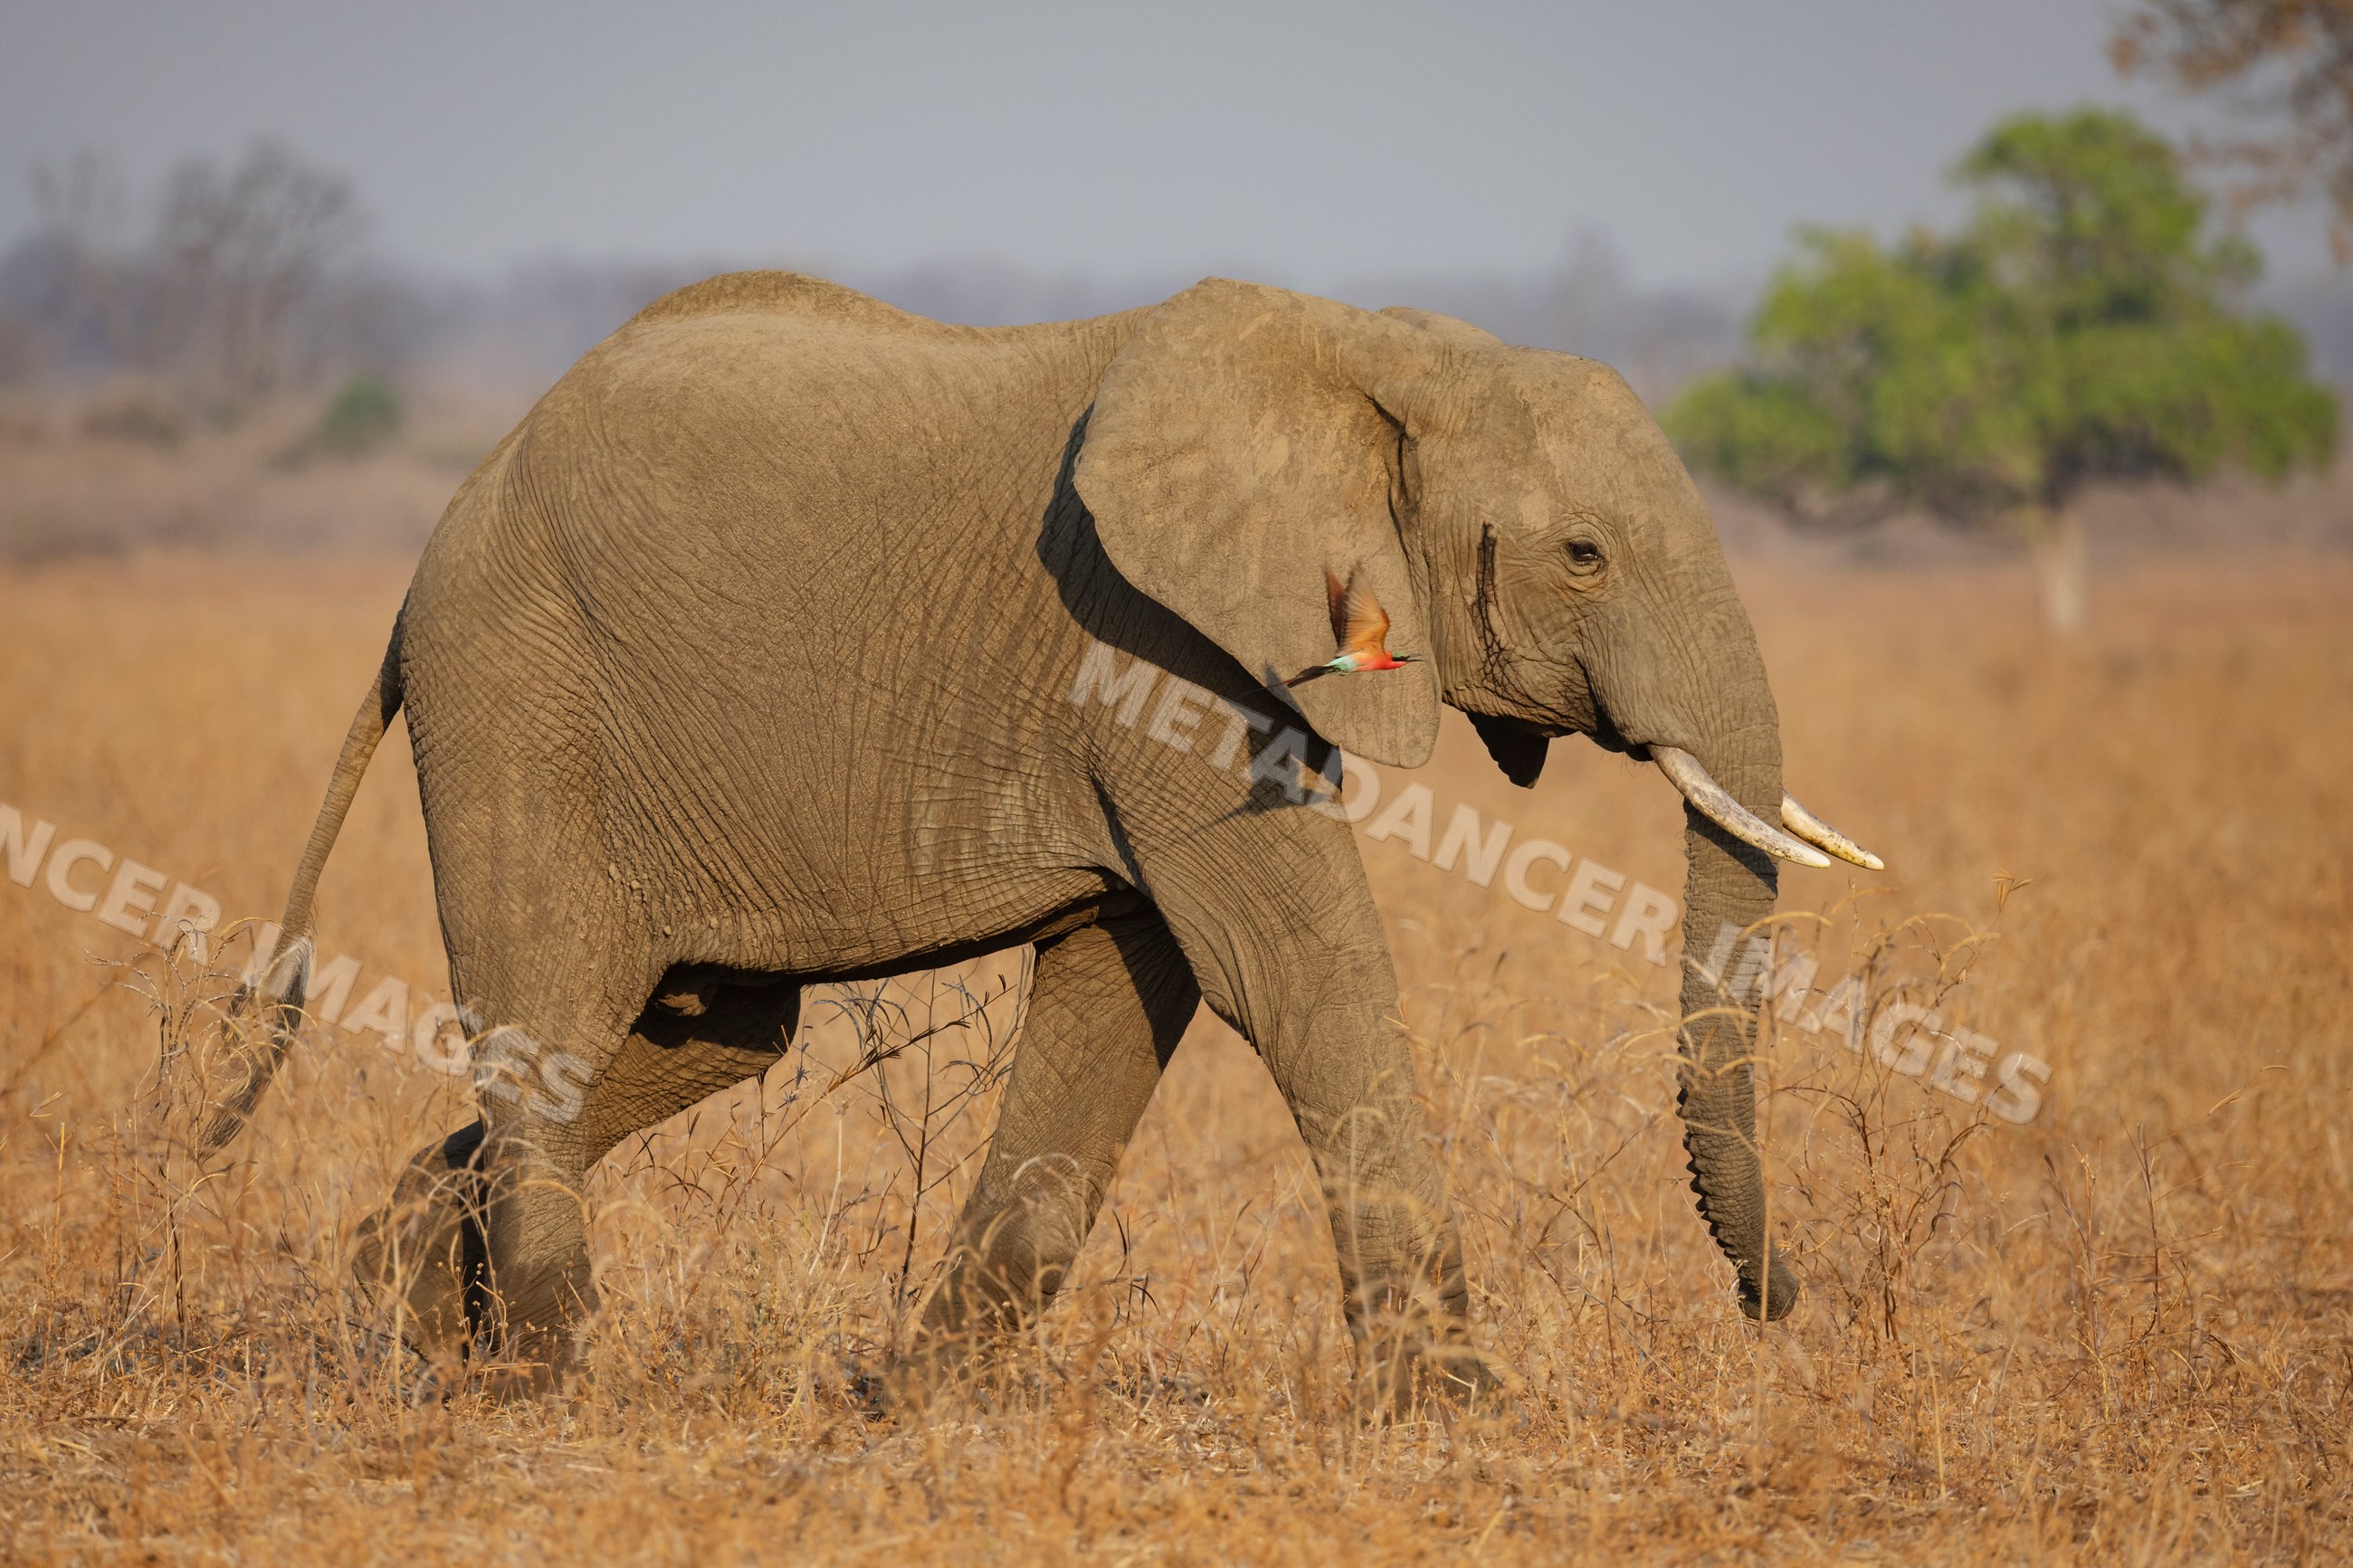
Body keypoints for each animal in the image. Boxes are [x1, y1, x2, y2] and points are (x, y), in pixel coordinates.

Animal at [199, 270, 1878, 1398]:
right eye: (1584, 554)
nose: (1788, 1303)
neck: (1377, 347)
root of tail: (444, 531)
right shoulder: (1155, 643)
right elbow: (1293, 965)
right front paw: (1460, 1411)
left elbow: (1131, 985)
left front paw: (908, 1402)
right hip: (517, 693)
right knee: (549, 1007)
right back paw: (544, 1381)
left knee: (709, 1032)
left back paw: (412, 1305)